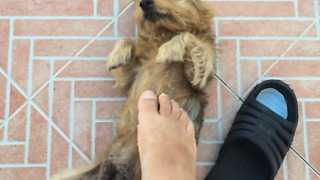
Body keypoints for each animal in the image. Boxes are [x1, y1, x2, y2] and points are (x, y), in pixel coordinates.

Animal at [52, 0, 216, 179]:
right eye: (138, 2)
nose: (144, 3)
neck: (163, 34)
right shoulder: (129, 76)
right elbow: (128, 41)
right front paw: (116, 56)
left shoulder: (196, 77)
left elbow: (187, 37)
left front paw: (168, 50)